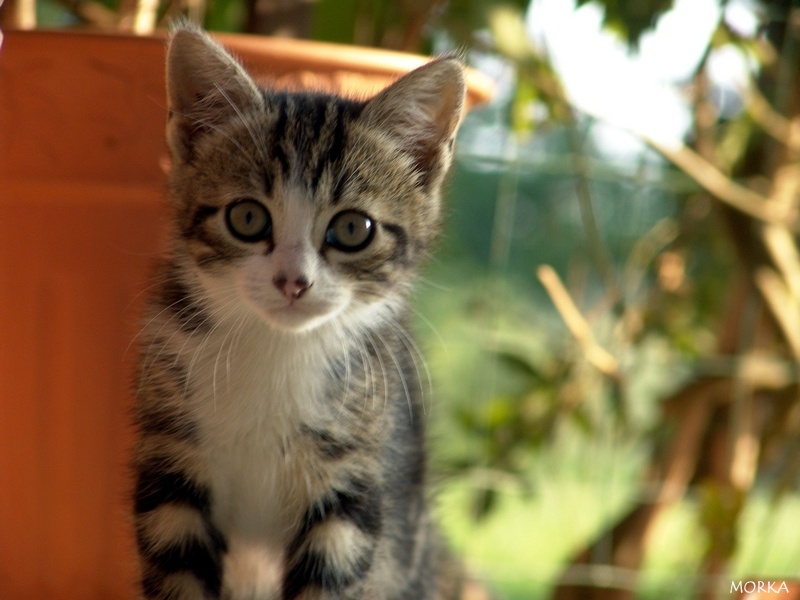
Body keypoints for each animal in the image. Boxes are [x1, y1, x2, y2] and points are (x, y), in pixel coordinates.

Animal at [133, 24, 468, 600]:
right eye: (247, 217)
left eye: (353, 229)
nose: (293, 281)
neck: (277, 350)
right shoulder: (171, 468)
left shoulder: (350, 487)